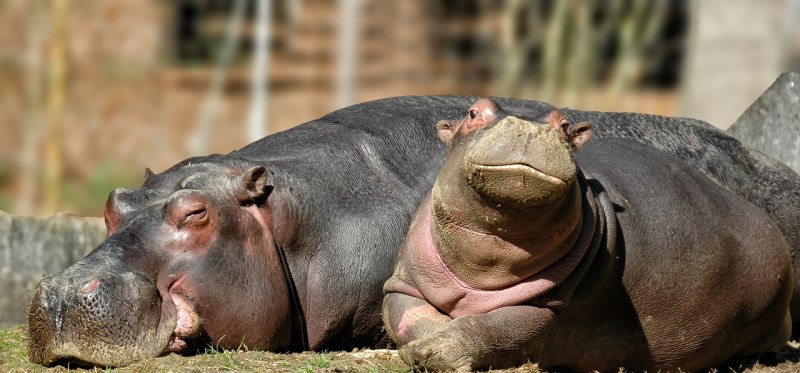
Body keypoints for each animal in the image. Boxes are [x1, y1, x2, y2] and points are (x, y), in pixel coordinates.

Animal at [382, 97, 792, 370]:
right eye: (472, 113)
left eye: (565, 124)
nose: (529, 127)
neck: (489, 249)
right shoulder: (404, 285)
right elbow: (410, 317)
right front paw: (425, 347)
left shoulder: (545, 306)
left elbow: (493, 328)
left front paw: (434, 353)